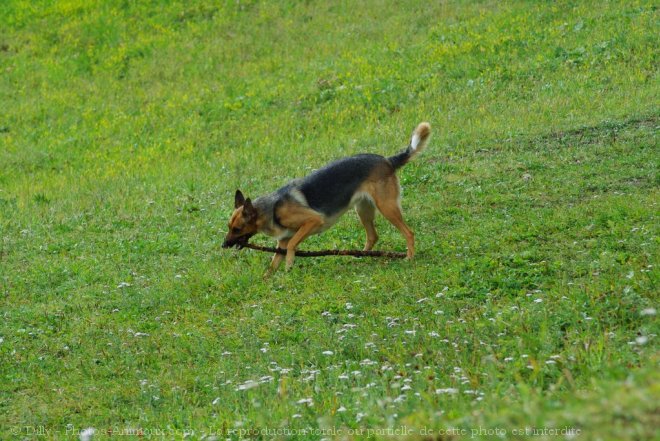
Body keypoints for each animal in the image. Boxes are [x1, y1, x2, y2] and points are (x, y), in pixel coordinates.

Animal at [224, 120, 430, 272]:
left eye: (237, 228)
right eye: (229, 227)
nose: (223, 245)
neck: (271, 209)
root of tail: (387, 161)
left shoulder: (312, 221)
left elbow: (292, 246)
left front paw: (289, 266)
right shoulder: (282, 240)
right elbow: (273, 264)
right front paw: (269, 280)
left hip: (386, 207)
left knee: (408, 233)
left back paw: (409, 257)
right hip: (363, 209)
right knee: (373, 236)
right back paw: (359, 256)